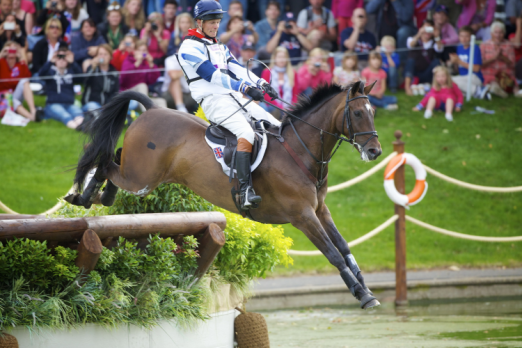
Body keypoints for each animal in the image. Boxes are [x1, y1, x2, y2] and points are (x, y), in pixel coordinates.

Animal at [65, 80, 382, 308]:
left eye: (373, 113)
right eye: (357, 113)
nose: (374, 151)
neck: (300, 152)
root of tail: (153, 109)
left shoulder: (319, 210)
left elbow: (344, 247)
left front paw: (364, 287)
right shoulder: (302, 216)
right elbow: (333, 254)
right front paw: (362, 295)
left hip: (141, 174)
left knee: (115, 157)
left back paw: (96, 196)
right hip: (141, 178)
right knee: (106, 161)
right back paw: (85, 195)